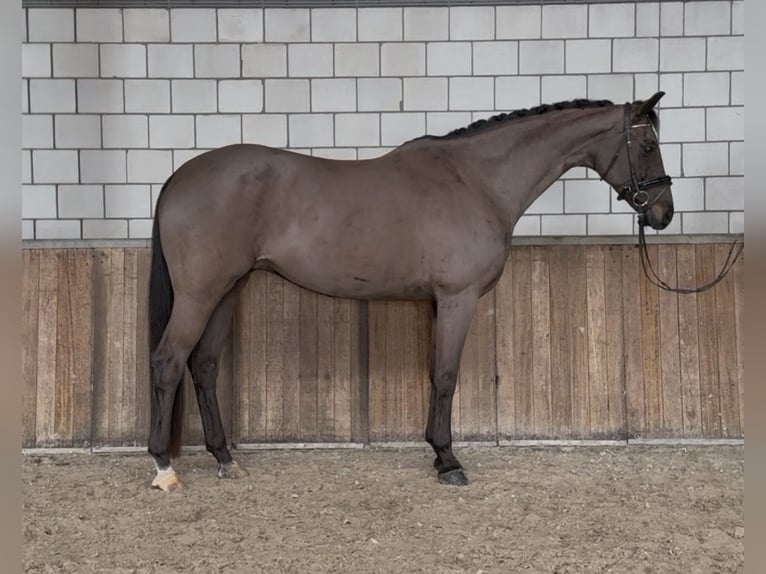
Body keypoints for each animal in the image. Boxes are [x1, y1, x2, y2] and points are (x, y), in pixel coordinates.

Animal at [147, 92, 674, 491]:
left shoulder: (438, 303)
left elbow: (434, 374)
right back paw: (164, 467)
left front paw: (439, 455)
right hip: (199, 294)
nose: (663, 213)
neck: (477, 182)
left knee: (204, 365)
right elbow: (446, 376)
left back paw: (224, 459)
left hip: (228, 289)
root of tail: (178, 177)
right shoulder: (458, 298)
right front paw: (449, 461)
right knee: (169, 362)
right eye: (647, 145)